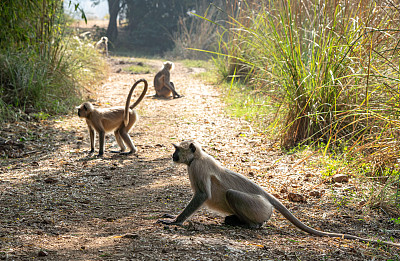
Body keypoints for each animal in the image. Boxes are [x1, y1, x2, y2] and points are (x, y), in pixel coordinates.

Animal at [159, 139, 400, 247]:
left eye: (176, 150)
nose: (172, 156)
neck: (197, 157)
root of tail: (267, 196)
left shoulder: (198, 168)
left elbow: (202, 195)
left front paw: (175, 221)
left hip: (259, 207)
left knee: (232, 195)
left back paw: (250, 225)